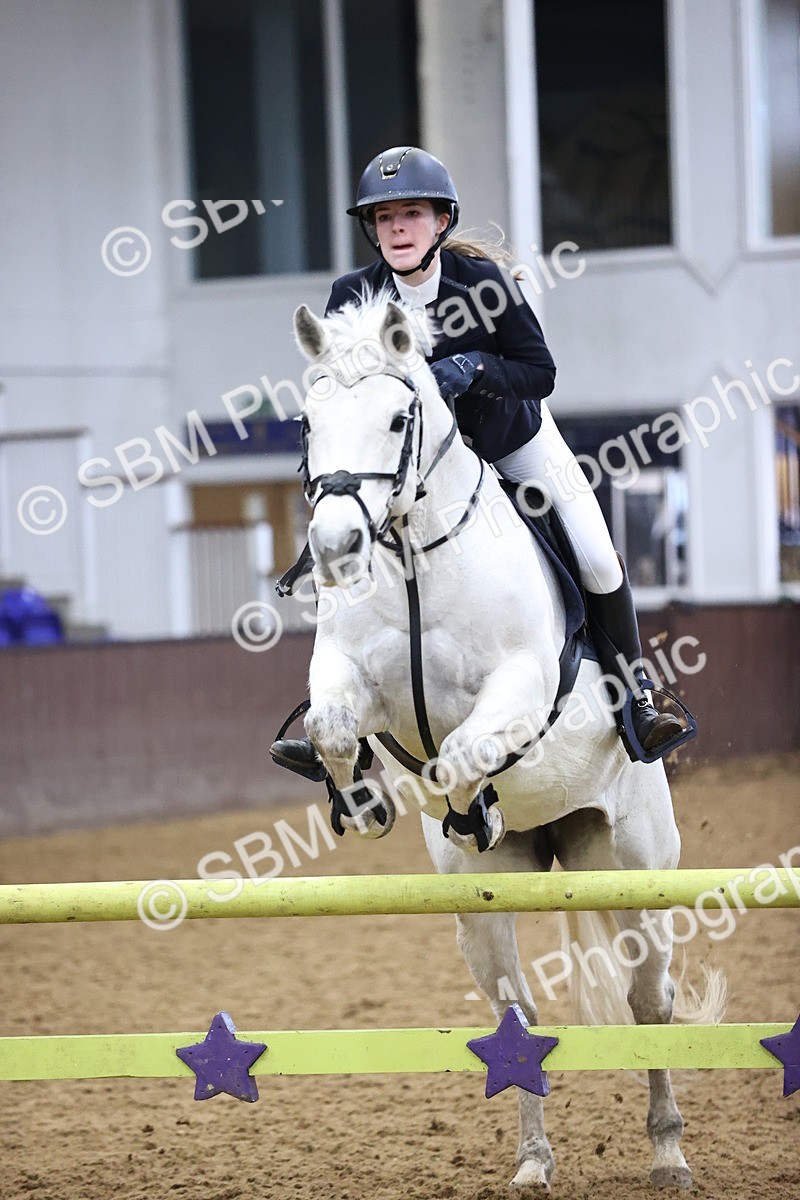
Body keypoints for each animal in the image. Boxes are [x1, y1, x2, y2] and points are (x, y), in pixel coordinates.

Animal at [291, 292, 723, 1191]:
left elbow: (461, 752)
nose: (336, 550)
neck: (415, 558)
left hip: (630, 867)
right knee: (513, 1016)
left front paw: (473, 805)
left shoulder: (519, 688)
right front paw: (362, 799)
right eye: (308, 422)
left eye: (397, 419)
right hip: (485, 907)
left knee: (649, 1000)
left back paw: (669, 1151)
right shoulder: (348, 674)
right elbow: (331, 726)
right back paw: (533, 1161)